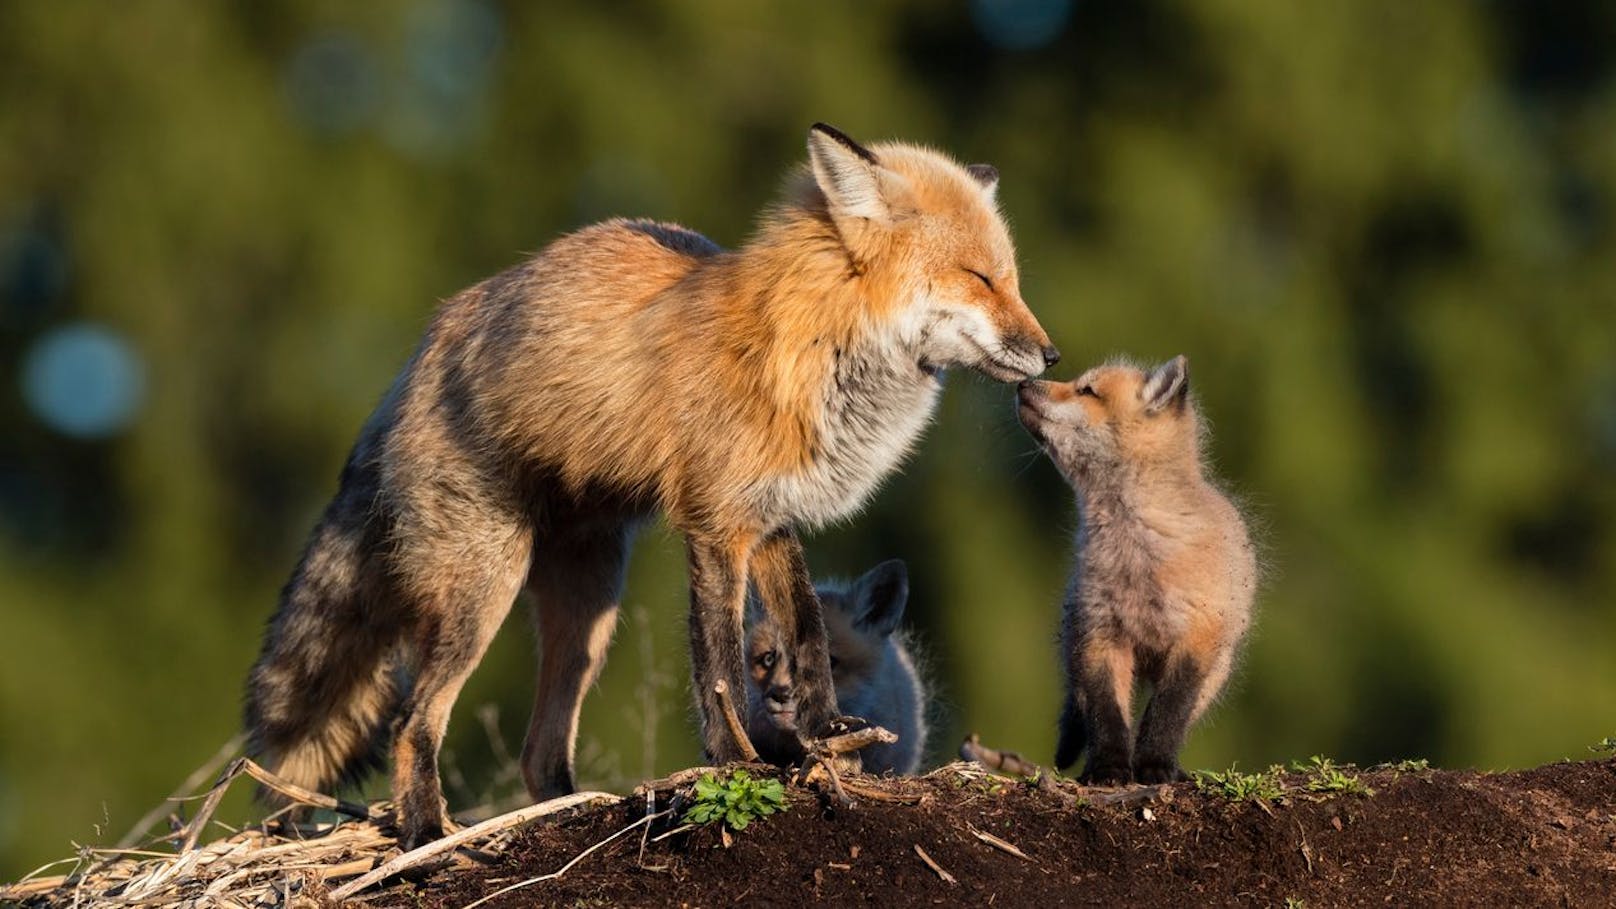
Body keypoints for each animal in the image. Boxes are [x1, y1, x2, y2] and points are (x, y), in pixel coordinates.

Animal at [239, 122, 1047, 841]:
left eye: (1012, 278)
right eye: (981, 278)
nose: (1051, 356)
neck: (808, 346)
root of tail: (421, 350)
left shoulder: (773, 518)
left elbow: (809, 631)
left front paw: (822, 731)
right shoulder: (716, 524)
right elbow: (718, 662)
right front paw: (735, 762)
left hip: (589, 615)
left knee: (537, 753)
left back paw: (562, 815)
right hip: (484, 590)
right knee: (413, 722)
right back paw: (424, 836)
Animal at [1014, 357, 1254, 782]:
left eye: (1087, 391)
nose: (1023, 384)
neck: (1137, 556)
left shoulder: (1194, 639)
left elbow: (1167, 713)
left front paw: (1155, 766)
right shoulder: (1100, 633)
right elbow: (1106, 713)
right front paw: (1108, 768)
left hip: (1215, 671)